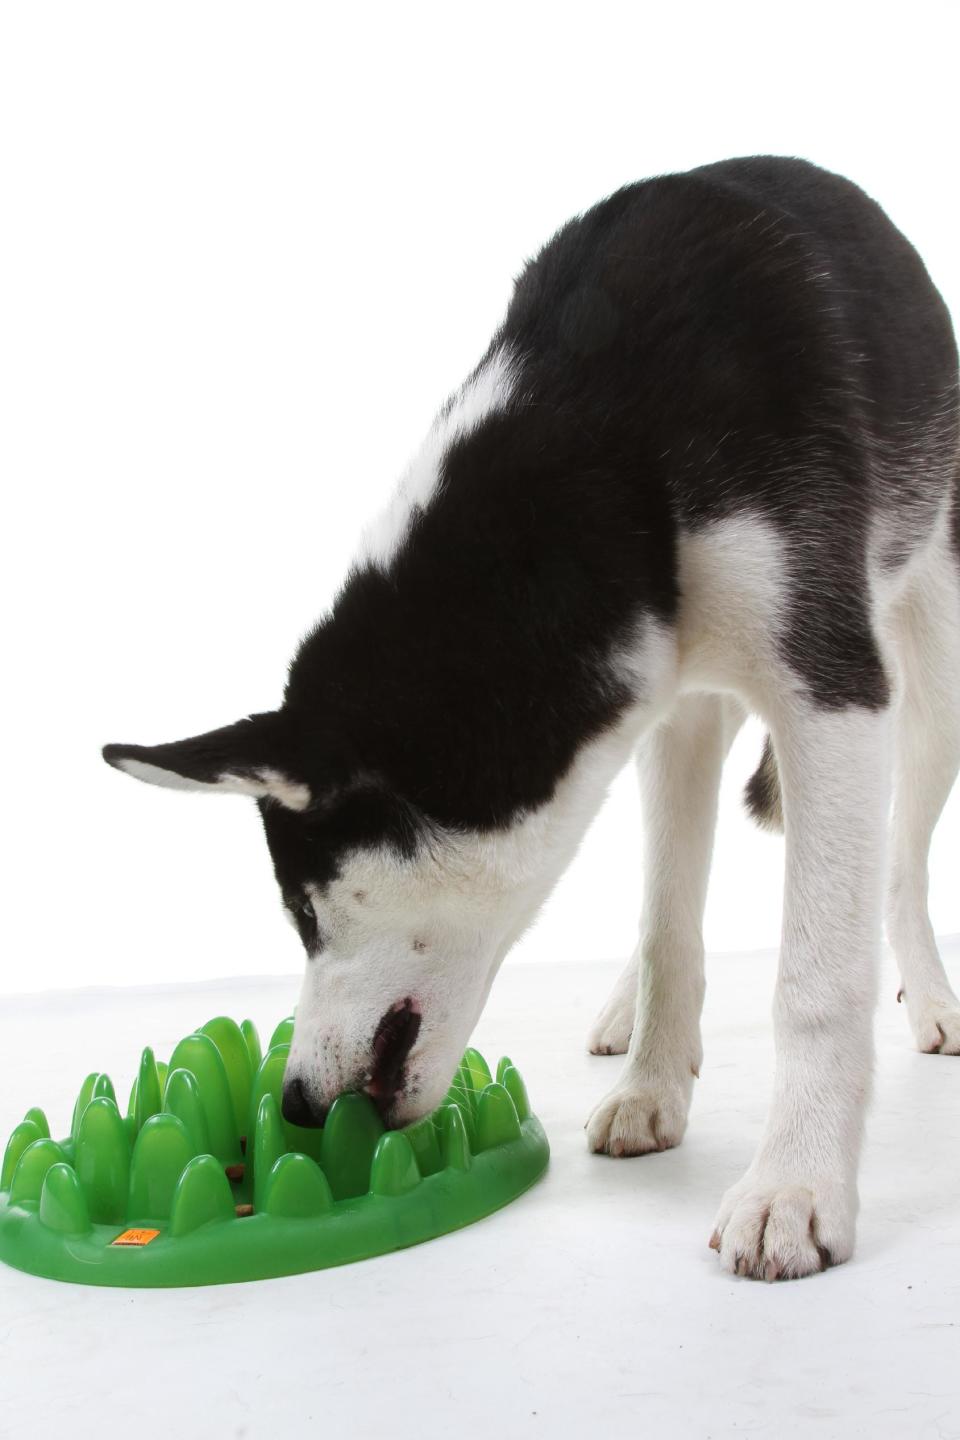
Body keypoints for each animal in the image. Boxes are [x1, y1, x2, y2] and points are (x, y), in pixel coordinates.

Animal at [101, 157, 955, 1284]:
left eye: (301, 909)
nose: (297, 1102)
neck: (613, 444)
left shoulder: (832, 692)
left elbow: (816, 975)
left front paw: (797, 1186)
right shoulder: (664, 699)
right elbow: (665, 922)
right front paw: (651, 1085)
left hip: (931, 663)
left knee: (900, 861)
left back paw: (930, 995)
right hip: (694, 719)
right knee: (672, 893)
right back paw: (632, 1017)